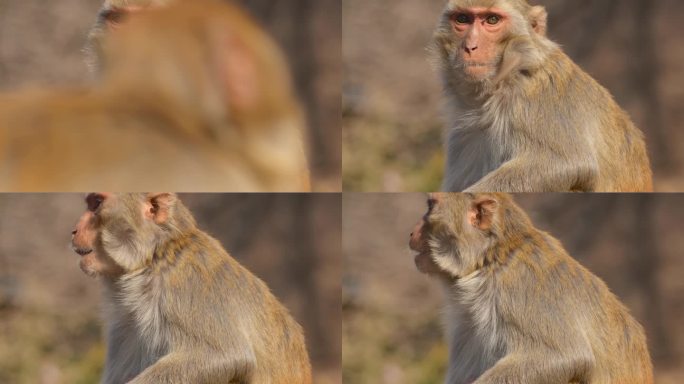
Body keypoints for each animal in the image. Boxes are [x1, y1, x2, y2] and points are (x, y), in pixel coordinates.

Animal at [71, 194, 312, 384]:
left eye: (96, 204)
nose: (74, 230)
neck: (154, 257)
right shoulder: (127, 318)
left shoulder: (183, 285)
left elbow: (226, 355)